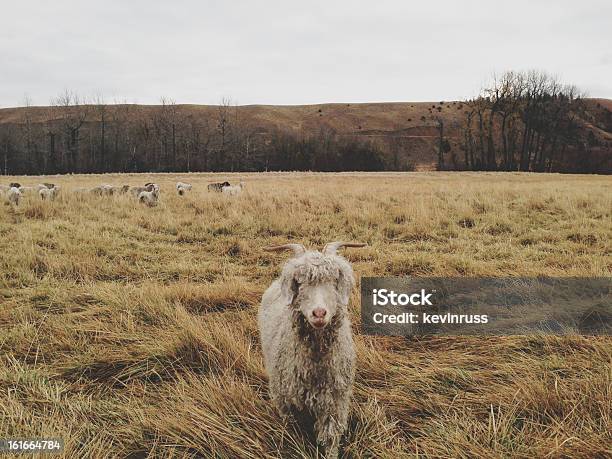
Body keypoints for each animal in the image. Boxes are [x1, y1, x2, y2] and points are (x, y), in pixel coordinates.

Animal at [256, 243, 364, 458]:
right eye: (299, 282)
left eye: (334, 280)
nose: (319, 313)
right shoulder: (286, 403)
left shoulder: (334, 403)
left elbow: (330, 439)